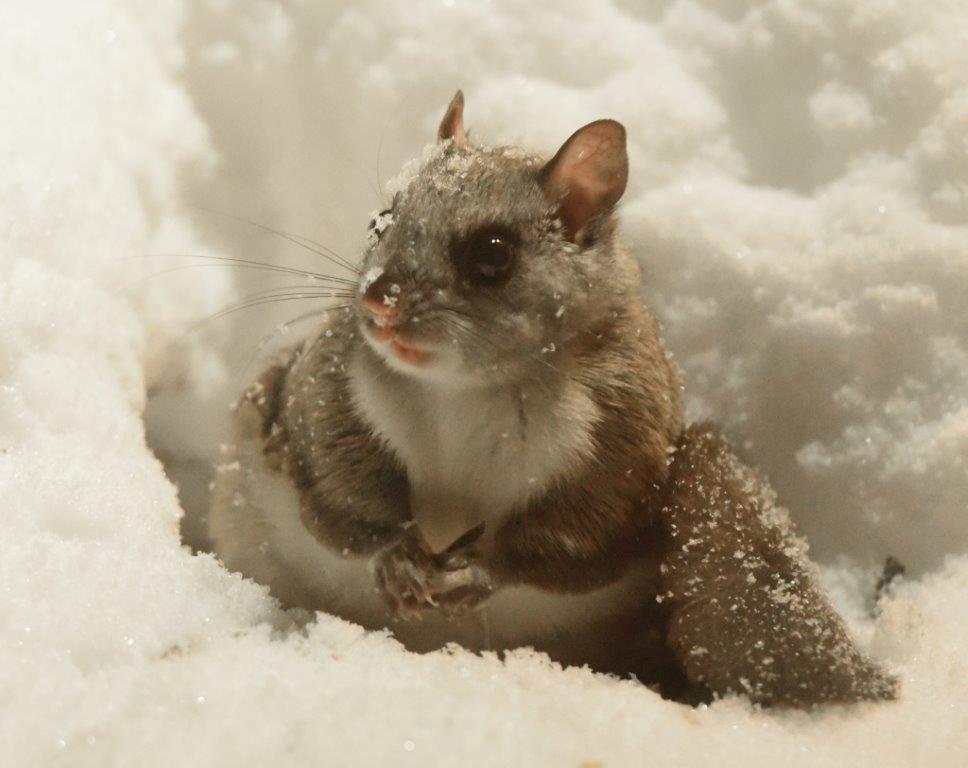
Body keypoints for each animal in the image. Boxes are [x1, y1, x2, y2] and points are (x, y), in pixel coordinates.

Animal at [210, 91, 897, 707]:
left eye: (492, 254)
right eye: (381, 219)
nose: (379, 301)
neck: (472, 386)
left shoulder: (622, 433)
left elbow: (574, 533)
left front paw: (481, 570)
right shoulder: (329, 384)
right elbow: (339, 480)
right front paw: (396, 553)